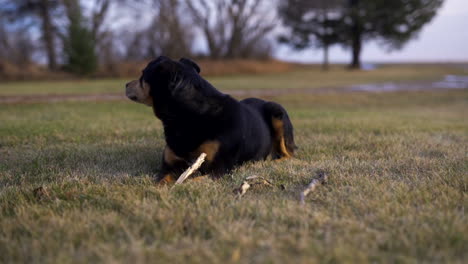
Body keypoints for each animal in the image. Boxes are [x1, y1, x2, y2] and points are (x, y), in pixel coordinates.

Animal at [122, 56, 294, 184]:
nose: (126, 84)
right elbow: (161, 181)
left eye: (143, 74)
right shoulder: (168, 166)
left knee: (288, 155)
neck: (191, 115)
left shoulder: (219, 169)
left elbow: (190, 181)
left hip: (276, 110)